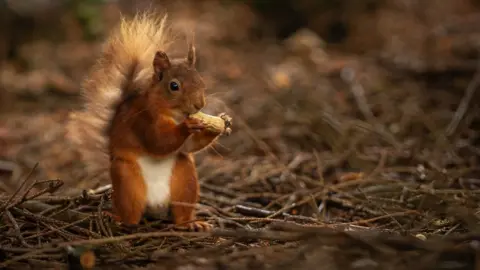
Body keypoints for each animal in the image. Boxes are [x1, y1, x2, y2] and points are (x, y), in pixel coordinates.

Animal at [67, 12, 231, 232]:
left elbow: (189, 146)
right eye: (174, 86)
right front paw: (187, 126)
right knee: (131, 214)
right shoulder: (142, 120)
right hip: (127, 180)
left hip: (185, 180)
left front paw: (221, 122)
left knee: (180, 214)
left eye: (201, 81)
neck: (172, 114)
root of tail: (156, 208)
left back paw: (192, 223)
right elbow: (158, 141)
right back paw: (117, 219)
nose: (199, 104)